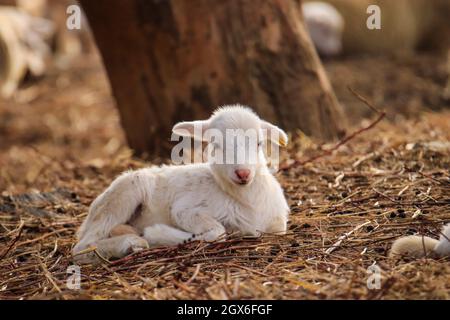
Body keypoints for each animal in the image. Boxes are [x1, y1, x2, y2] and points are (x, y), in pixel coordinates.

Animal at [72, 105, 290, 262]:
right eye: (216, 144)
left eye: (259, 143)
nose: (243, 173)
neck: (248, 202)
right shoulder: (184, 210)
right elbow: (218, 233)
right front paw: (157, 234)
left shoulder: (278, 224)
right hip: (123, 194)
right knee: (82, 247)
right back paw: (130, 242)